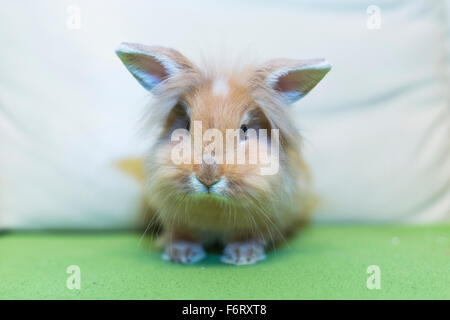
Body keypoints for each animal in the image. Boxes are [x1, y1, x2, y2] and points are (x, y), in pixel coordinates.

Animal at [116, 42, 330, 264]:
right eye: (187, 124)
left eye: (244, 129)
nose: (208, 177)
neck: (213, 207)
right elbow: (183, 235)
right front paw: (181, 255)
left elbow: (249, 236)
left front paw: (242, 257)